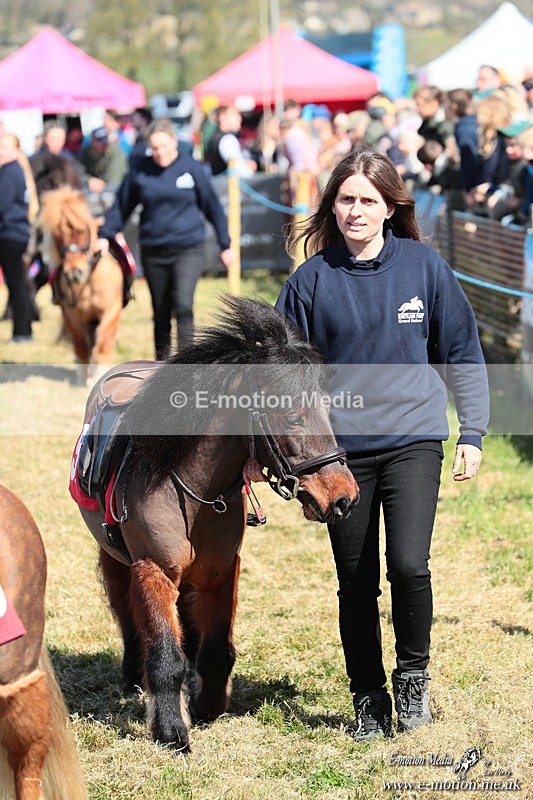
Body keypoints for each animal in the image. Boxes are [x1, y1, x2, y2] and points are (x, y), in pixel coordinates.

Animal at [38, 186, 126, 386]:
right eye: (57, 234)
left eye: (82, 230)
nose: (74, 272)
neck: (88, 283)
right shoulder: (72, 317)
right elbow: (81, 347)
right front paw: (82, 379)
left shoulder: (111, 312)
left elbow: (102, 346)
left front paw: (98, 378)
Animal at [72, 296, 360, 753]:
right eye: (292, 417)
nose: (342, 496)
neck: (189, 486)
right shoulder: (153, 570)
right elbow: (165, 655)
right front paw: (172, 731)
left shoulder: (221, 572)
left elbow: (215, 649)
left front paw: (206, 704)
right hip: (113, 557)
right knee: (127, 617)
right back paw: (133, 676)